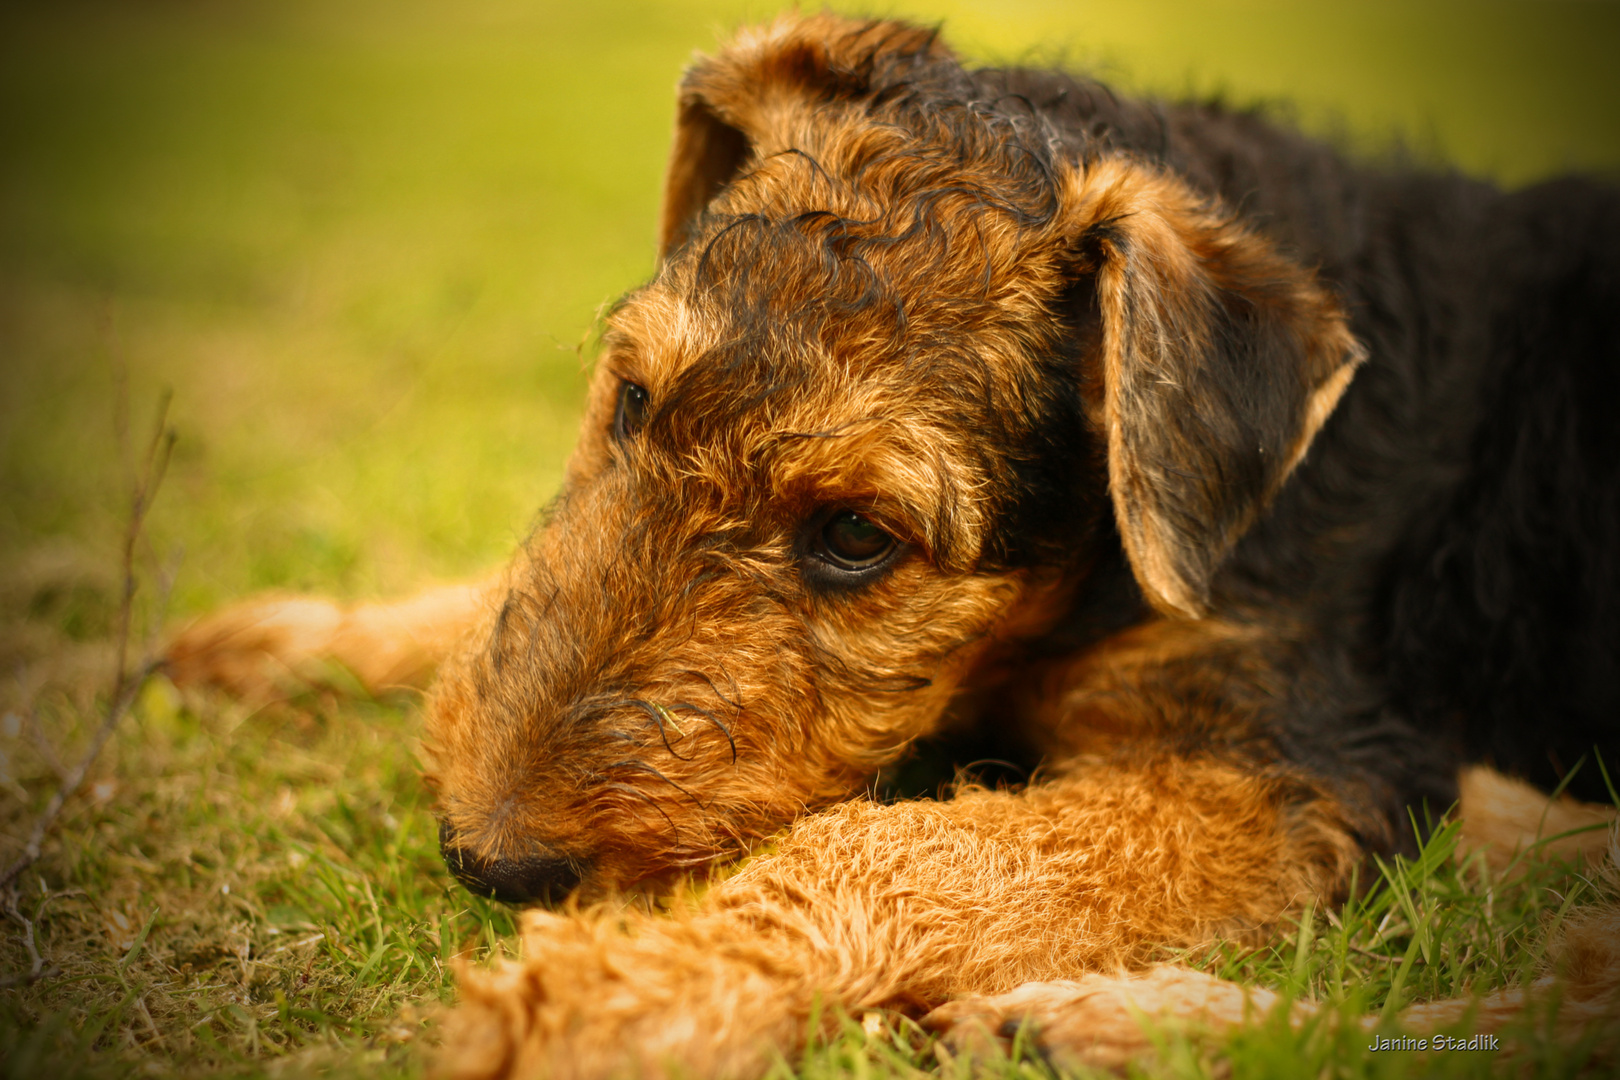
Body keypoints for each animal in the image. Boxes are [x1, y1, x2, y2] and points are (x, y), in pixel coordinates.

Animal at [167, 10, 1620, 1080]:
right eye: (631, 401)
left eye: (858, 536)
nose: (488, 858)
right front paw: (281, 644)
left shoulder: (1299, 761)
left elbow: (909, 848)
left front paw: (597, 996)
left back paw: (1109, 1018)